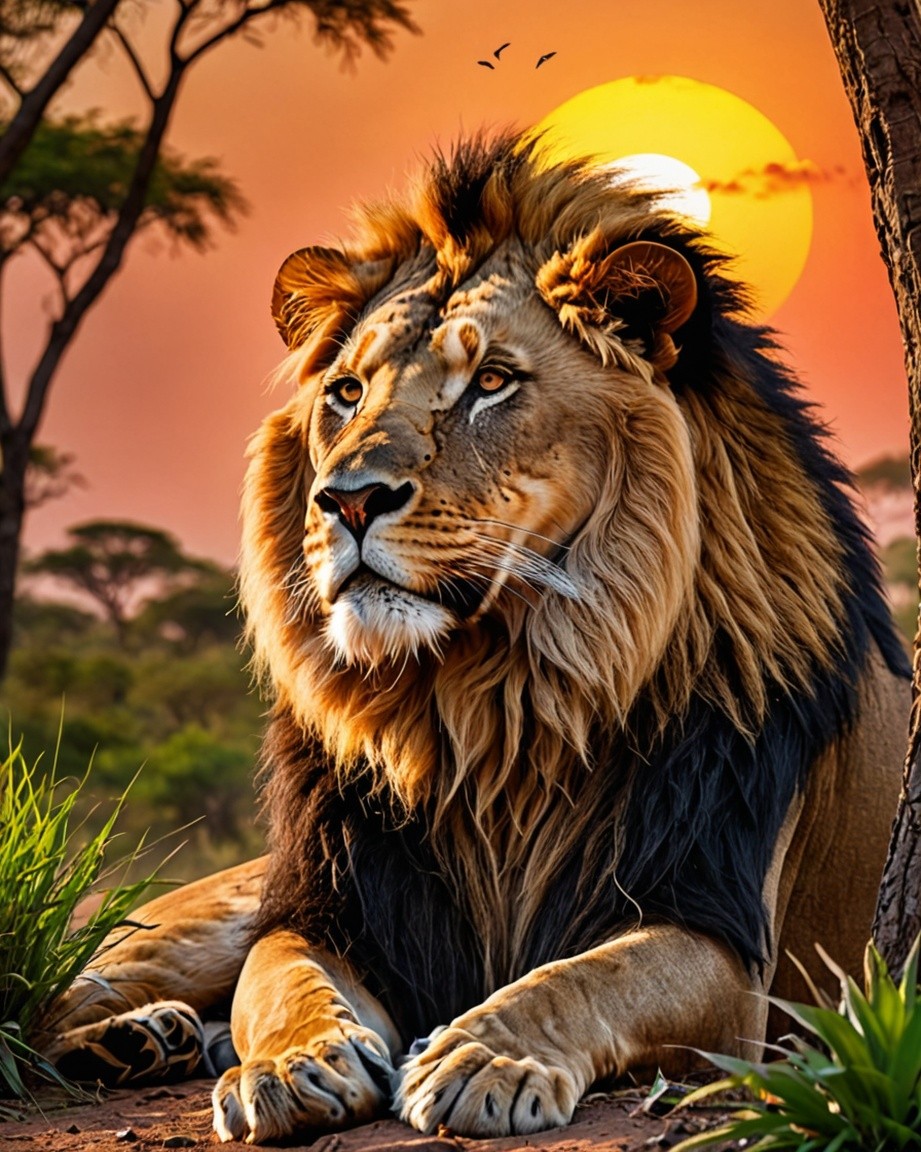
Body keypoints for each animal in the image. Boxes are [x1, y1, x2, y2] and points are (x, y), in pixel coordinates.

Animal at [41, 133, 909, 1145]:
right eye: (346, 392)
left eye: (491, 382)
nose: (346, 500)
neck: (487, 701)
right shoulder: (324, 904)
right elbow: (285, 978)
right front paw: (293, 1065)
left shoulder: (723, 939)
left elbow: (583, 977)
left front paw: (482, 1057)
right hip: (219, 909)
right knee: (54, 989)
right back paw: (137, 1038)